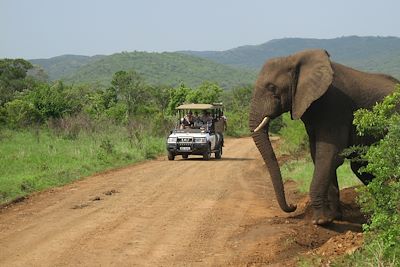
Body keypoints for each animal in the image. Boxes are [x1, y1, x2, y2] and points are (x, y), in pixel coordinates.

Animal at [248, 48, 398, 226]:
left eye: (272, 87)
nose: (293, 205)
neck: (294, 59)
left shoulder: (335, 105)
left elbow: (329, 155)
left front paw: (321, 221)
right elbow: (318, 155)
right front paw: (334, 217)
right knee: (359, 166)